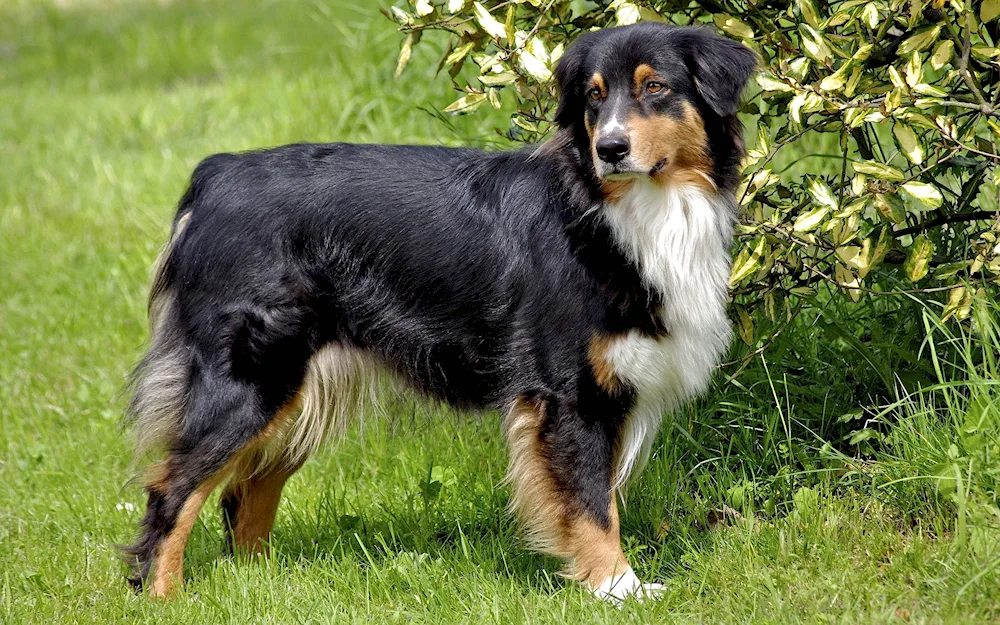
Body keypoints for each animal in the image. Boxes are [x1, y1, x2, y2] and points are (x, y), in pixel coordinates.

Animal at [121, 23, 752, 600]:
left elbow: (596, 499)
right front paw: (616, 589)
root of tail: (214, 176)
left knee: (246, 489)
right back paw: (164, 596)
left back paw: (260, 587)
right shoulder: (567, 394)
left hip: (296, 389)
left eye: (656, 87)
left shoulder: (606, 390)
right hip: (252, 377)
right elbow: (591, 504)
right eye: (594, 97)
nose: (610, 149)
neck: (621, 210)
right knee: (174, 489)